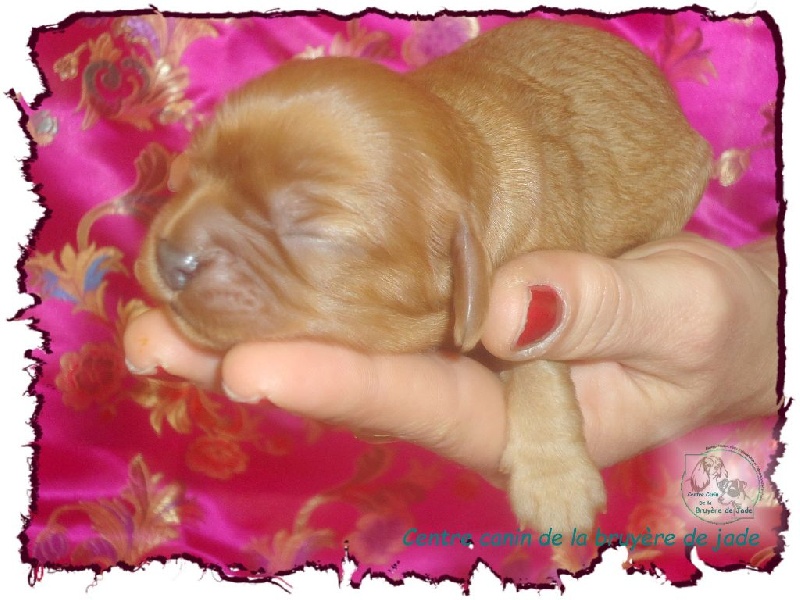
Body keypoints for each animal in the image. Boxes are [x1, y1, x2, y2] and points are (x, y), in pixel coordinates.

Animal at [137, 18, 712, 532]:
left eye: (310, 230)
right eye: (195, 171)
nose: (170, 258)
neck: (472, 150)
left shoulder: (529, 280)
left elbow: (537, 365)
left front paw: (555, 478)